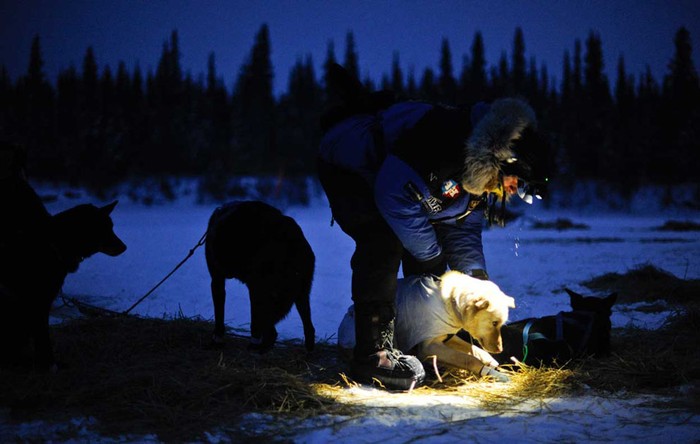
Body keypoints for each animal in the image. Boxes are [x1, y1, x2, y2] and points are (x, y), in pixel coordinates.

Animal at [0, 201, 127, 368]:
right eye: (104, 228)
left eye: (111, 227)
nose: (124, 247)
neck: (54, 244)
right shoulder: (39, 304)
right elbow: (43, 341)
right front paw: (49, 365)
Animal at [202, 202, 314, 354]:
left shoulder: (218, 279)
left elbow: (220, 317)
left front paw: (217, 341)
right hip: (300, 294)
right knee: (307, 327)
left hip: (262, 292)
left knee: (265, 327)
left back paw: (256, 346)